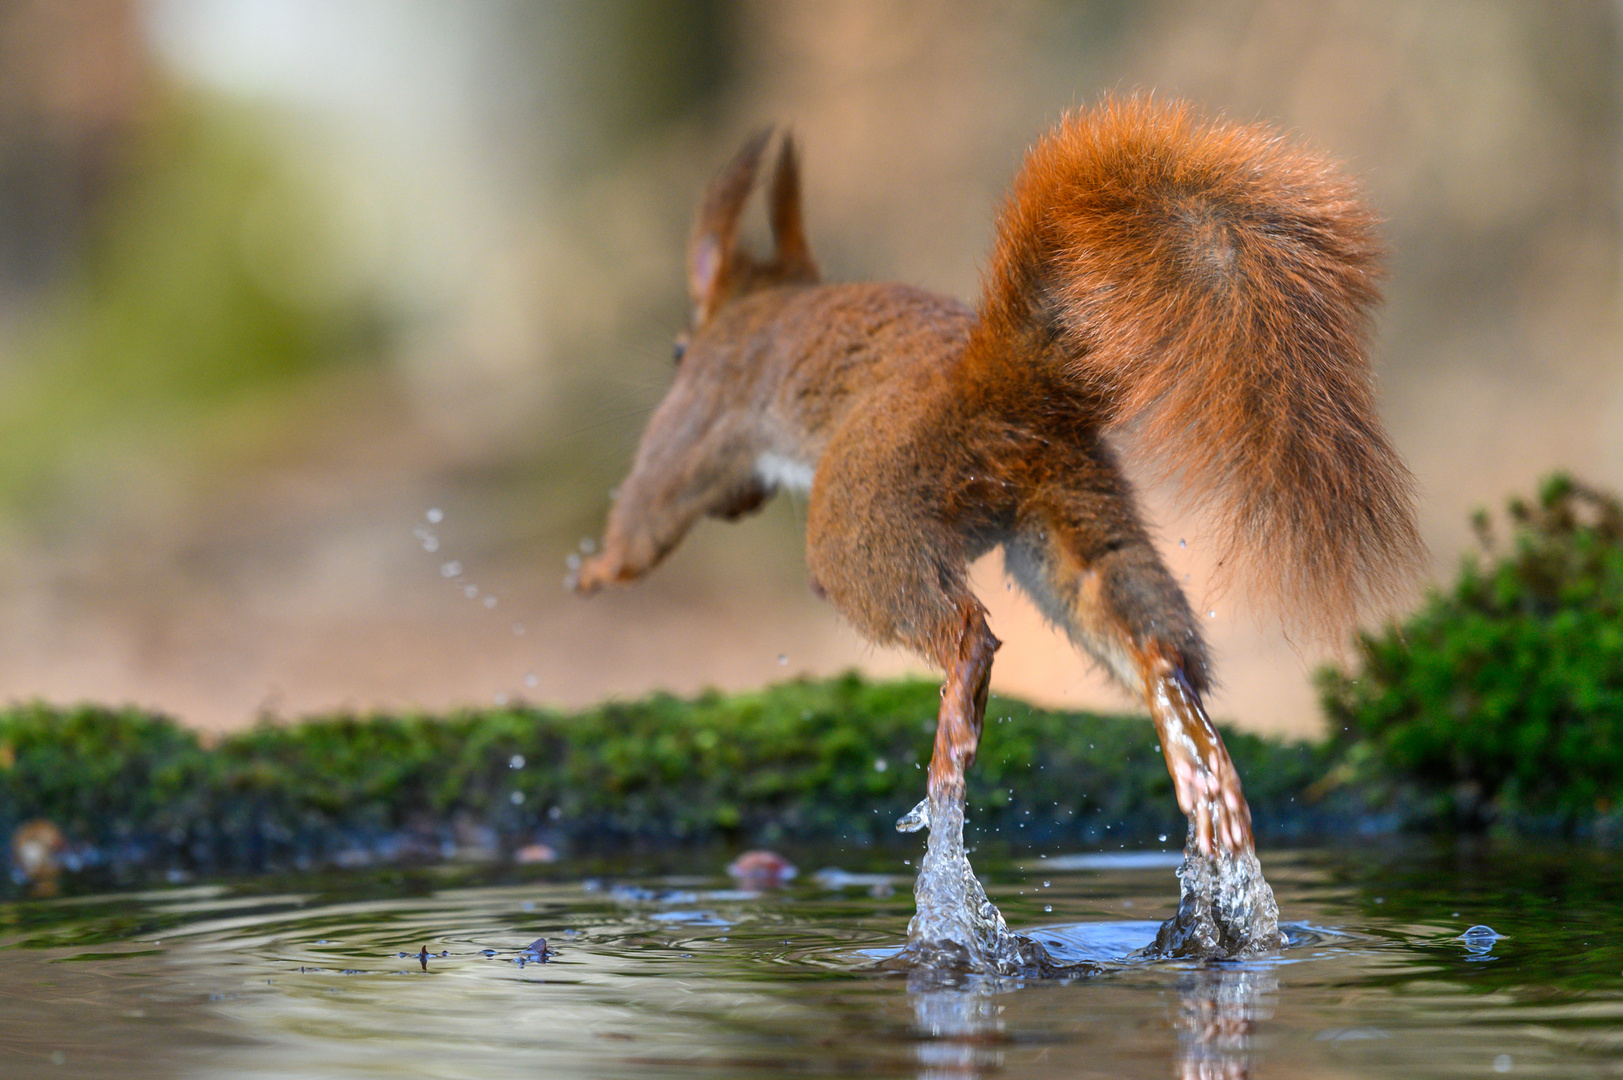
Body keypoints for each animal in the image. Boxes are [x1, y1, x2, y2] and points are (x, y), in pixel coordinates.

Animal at [574, 101, 1421, 857]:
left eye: (677, 353)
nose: (743, 508)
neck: (766, 303)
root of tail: (993, 380)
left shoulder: (703, 407)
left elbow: (653, 499)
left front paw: (598, 568)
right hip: (1070, 506)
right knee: (1142, 623)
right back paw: (1191, 748)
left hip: (865, 508)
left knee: (958, 625)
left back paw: (959, 711)